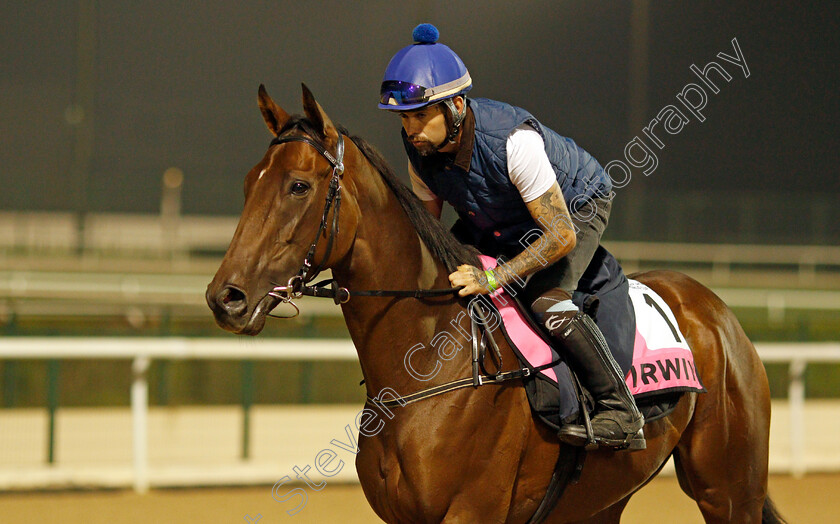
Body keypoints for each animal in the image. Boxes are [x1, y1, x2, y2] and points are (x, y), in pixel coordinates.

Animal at [207, 84, 784, 520]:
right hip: (601, 501)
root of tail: (714, 309)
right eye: (249, 184)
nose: (224, 298)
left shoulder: (470, 511)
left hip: (728, 490)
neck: (430, 363)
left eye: (299, 186)